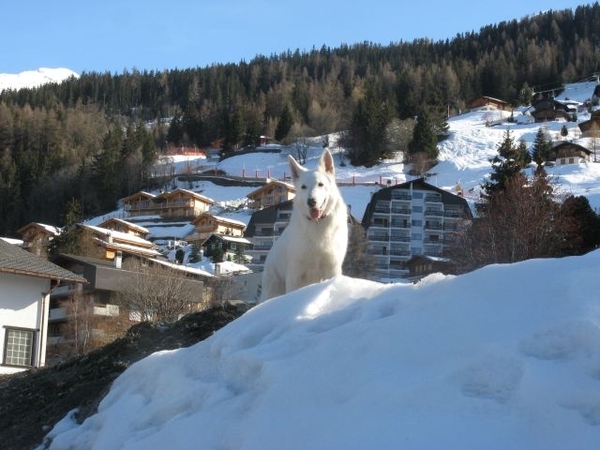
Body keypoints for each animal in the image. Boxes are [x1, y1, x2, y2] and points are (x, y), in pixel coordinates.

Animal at [260, 149, 350, 302]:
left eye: (320, 184)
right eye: (303, 187)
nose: (311, 201)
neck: (317, 224)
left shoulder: (332, 268)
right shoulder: (295, 274)